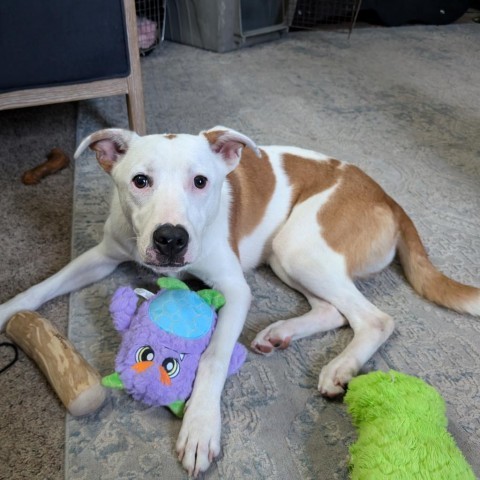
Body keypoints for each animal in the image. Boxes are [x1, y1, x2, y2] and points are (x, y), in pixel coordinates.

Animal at [0, 127, 480, 476]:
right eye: (140, 181)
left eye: (201, 181)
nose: (171, 239)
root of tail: (388, 198)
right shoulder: (102, 256)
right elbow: (43, 286)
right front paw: (7, 309)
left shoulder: (235, 289)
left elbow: (213, 358)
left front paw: (199, 427)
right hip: (287, 256)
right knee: (332, 309)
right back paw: (278, 334)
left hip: (299, 246)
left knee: (374, 318)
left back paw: (340, 368)